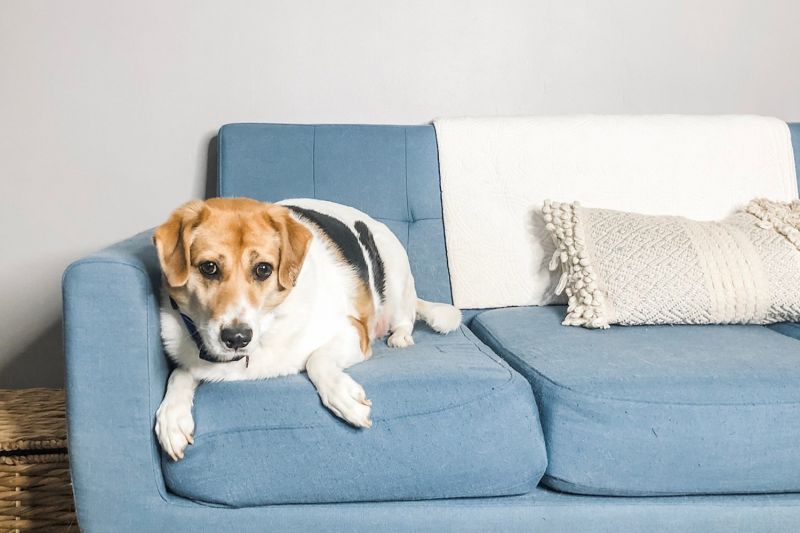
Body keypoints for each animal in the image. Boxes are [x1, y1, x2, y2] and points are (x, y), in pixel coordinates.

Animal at [152, 197, 462, 460]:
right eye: (209, 267)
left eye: (263, 269)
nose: (237, 338)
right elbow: (180, 374)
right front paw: (172, 417)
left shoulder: (352, 331)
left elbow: (317, 358)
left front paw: (343, 395)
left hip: (396, 282)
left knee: (405, 317)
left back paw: (400, 337)